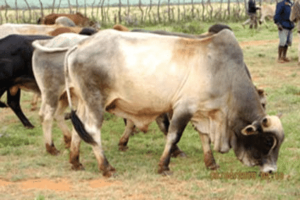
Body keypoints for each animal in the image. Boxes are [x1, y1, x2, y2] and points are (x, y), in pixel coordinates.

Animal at [64, 28, 284, 177]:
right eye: (267, 141)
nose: (271, 170)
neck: (226, 75)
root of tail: (78, 46)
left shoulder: (202, 112)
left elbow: (204, 138)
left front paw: (211, 163)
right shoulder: (183, 108)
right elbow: (173, 136)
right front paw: (164, 166)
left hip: (83, 102)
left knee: (78, 129)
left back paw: (75, 162)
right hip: (95, 101)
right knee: (92, 131)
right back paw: (106, 167)